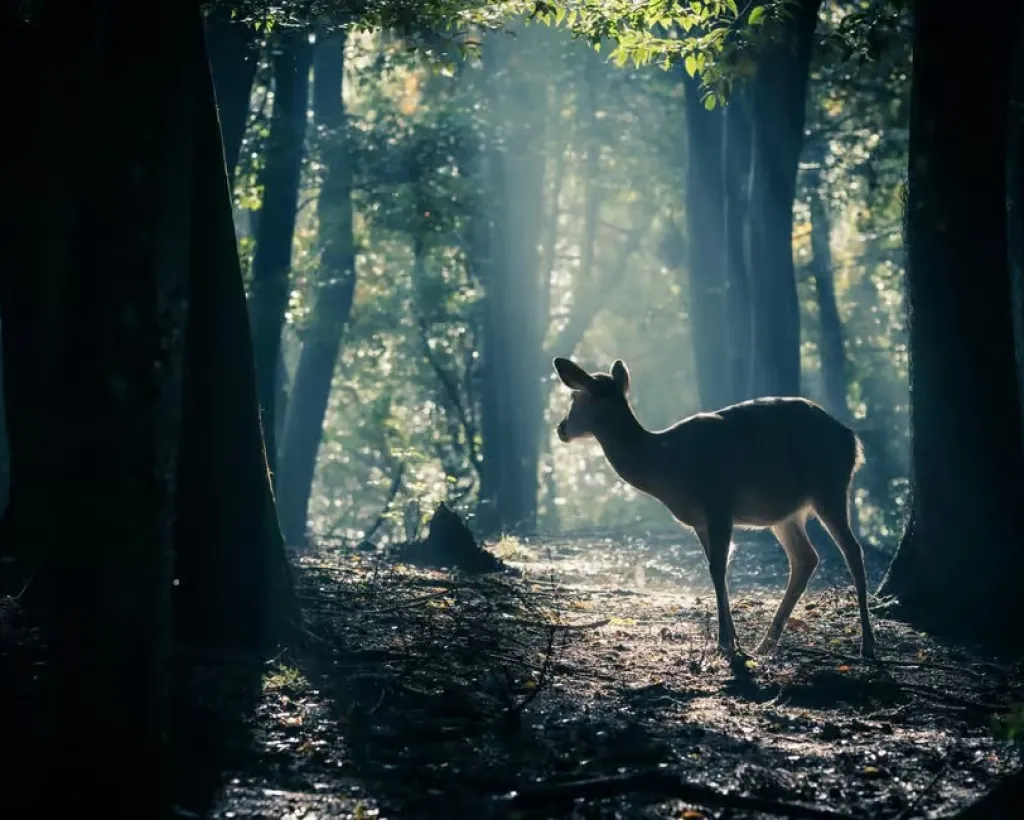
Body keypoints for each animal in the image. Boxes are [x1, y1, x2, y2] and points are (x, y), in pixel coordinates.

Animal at [552, 356, 876, 660]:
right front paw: (733, 640)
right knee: (806, 558)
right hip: (787, 513)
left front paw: (725, 641)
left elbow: (718, 567)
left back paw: (867, 644)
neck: (665, 463)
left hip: (829, 486)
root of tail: (854, 441)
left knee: (852, 550)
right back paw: (766, 643)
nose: (560, 428)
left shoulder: (719, 502)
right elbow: (714, 568)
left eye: (575, 397)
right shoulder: (700, 520)